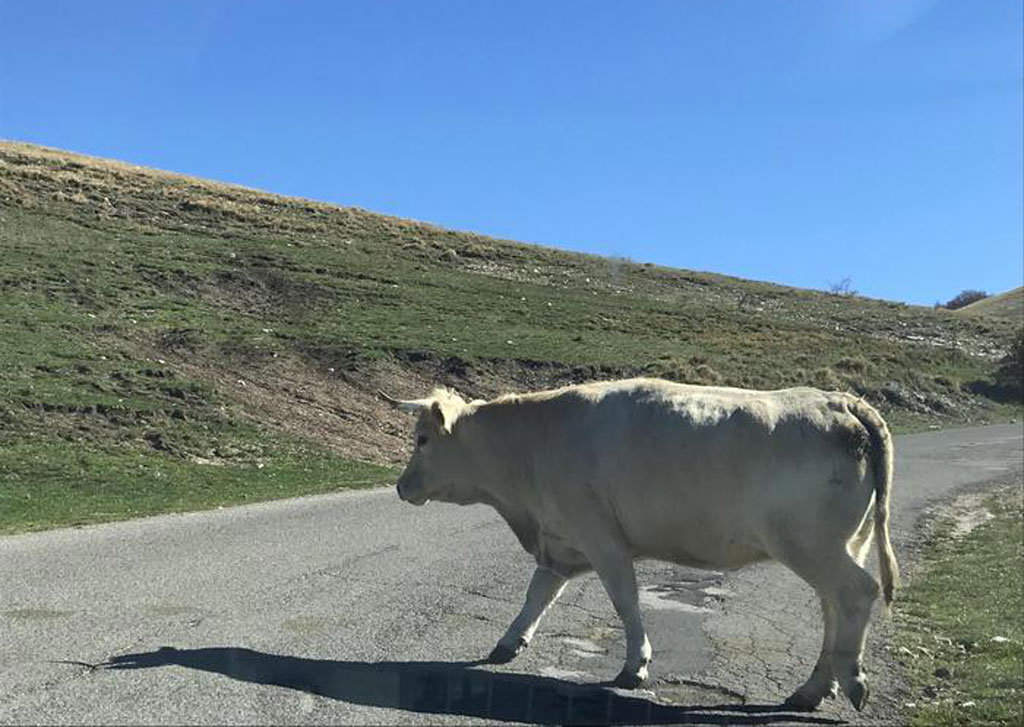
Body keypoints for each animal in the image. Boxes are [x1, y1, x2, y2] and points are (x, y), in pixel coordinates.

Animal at [382, 378, 898, 712]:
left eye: (422, 439)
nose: (401, 487)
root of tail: (842, 402)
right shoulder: (561, 542)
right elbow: (537, 595)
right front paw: (508, 643)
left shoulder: (602, 539)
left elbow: (625, 601)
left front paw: (635, 666)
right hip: (844, 543)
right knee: (834, 607)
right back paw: (815, 687)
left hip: (809, 543)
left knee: (857, 593)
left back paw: (849, 681)